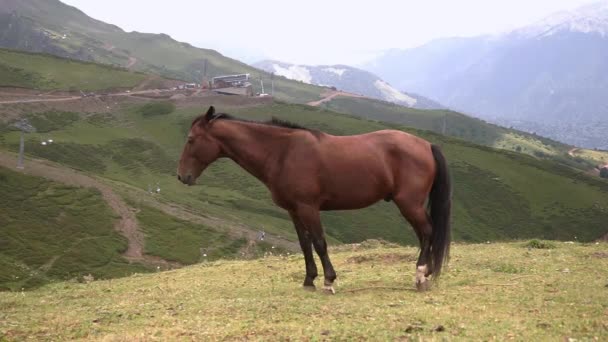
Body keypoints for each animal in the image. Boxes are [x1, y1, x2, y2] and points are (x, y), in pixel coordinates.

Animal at [177, 106, 452, 292]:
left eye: (191, 139)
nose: (182, 176)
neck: (282, 153)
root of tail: (426, 145)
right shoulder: (294, 210)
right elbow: (304, 244)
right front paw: (309, 280)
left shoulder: (308, 208)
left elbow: (319, 243)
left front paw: (329, 280)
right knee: (424, 234)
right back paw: (426, 273)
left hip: (409, 204)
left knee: (427, 232)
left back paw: (420, 275)